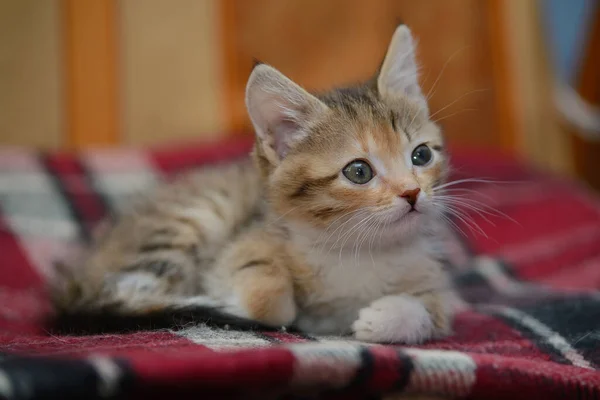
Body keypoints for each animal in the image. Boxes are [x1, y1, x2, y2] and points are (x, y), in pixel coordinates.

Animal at [51, 25, 460, 344]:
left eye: (421, 155)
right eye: (359, 172)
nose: (412, 193)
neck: (360, 249)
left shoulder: (434, 278)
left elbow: (435, 310)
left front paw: (388, 317)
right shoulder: (248, 237)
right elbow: (270, 299)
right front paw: (235, 300)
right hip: (196, 216)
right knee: (124, 293)